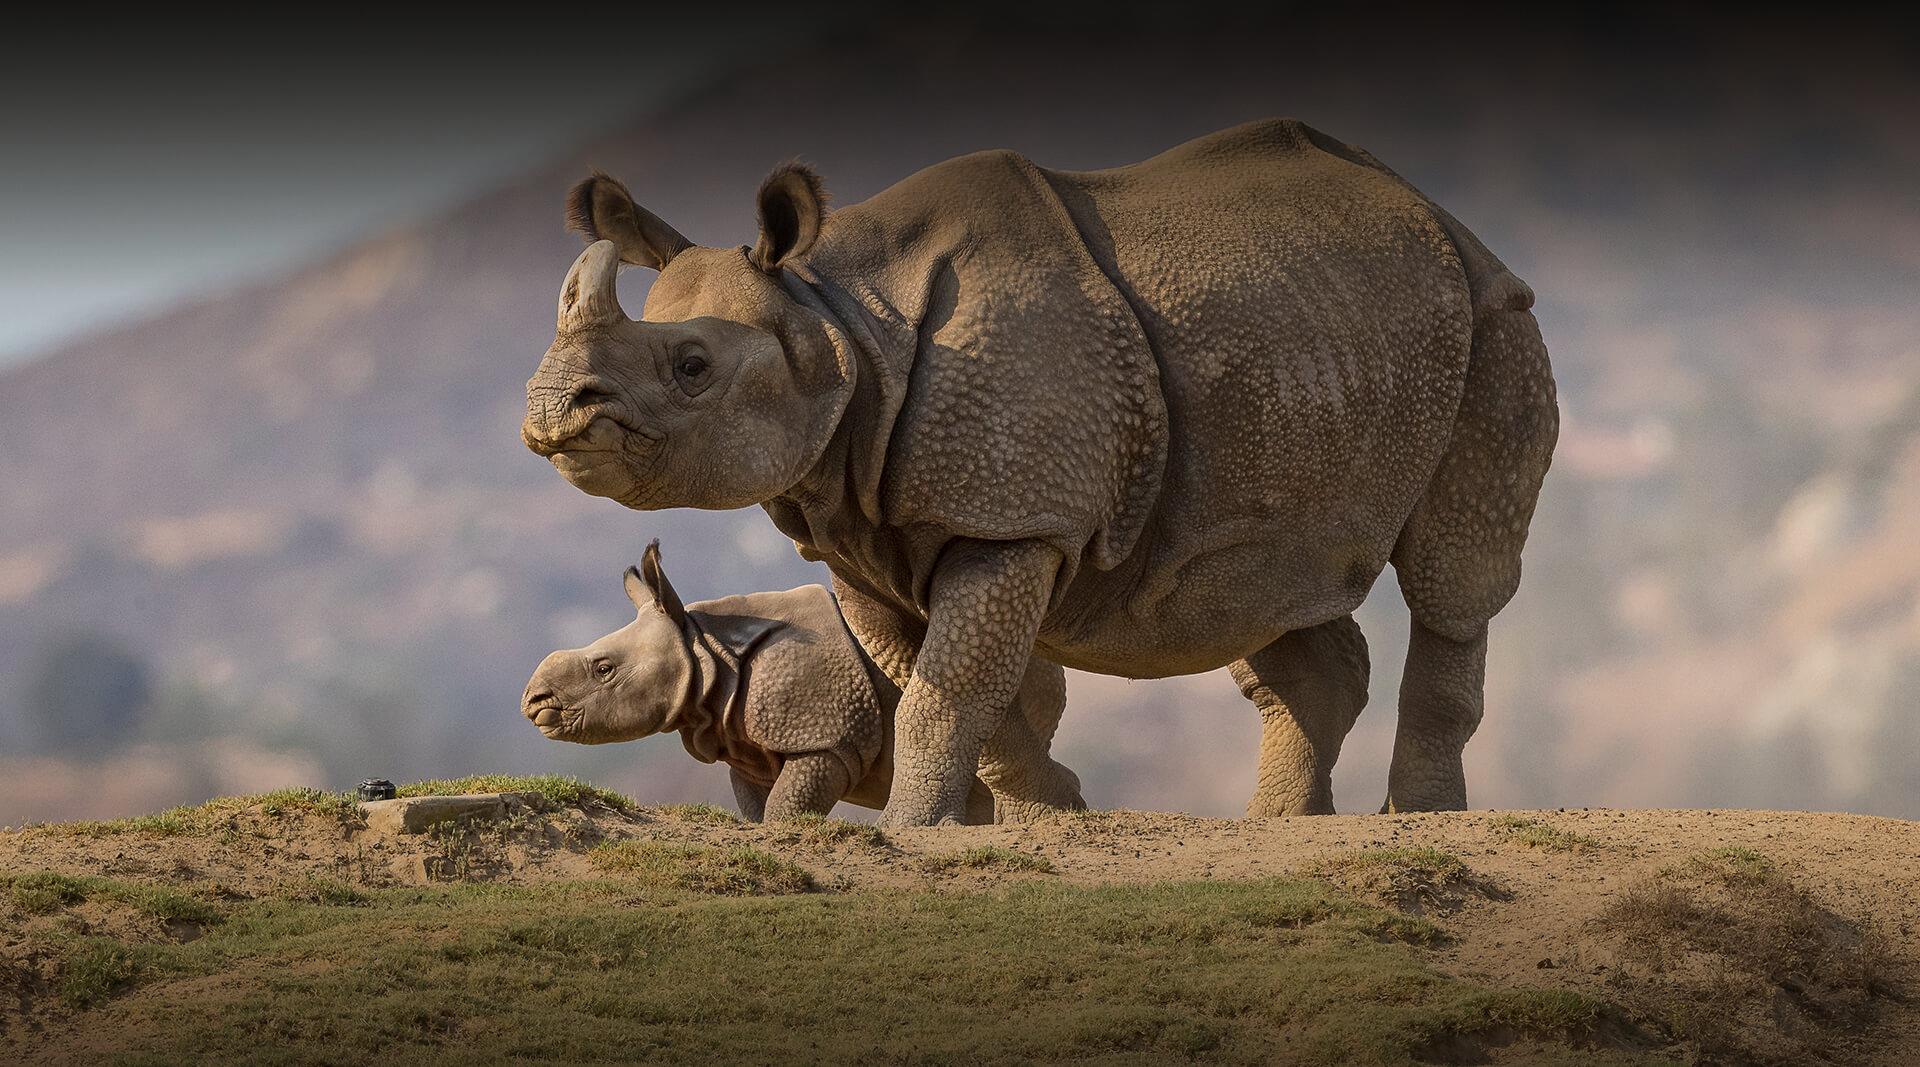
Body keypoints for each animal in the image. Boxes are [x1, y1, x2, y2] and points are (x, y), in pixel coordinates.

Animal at [518, 545, 1075, 821]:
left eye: (604, 669)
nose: (533, 702)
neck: (706, 649)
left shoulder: (826, 737)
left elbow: (788, 809)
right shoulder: (743, 743)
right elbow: (758, 811)